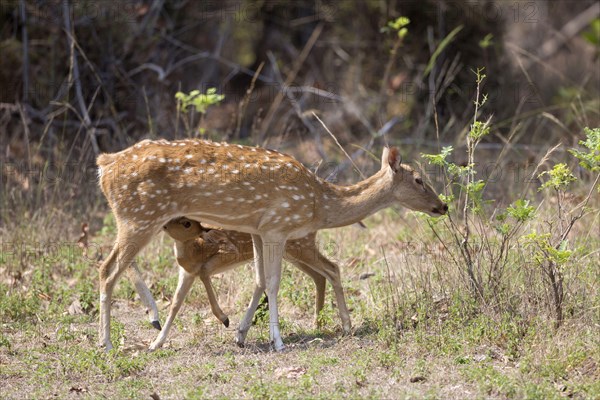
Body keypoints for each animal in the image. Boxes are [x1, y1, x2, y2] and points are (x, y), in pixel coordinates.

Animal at [145, 217, 350, 352]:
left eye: (186, 223)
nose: (163, 224)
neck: (196, 247)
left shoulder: (227, 253)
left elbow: (203, 274)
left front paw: (224, 318)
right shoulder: (186, 272)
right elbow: (175, 304)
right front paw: (155, 343)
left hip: (299, 246)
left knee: (333, 268)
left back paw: (343, 326)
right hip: (291, 251)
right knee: (319, 276)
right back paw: (317, 323)